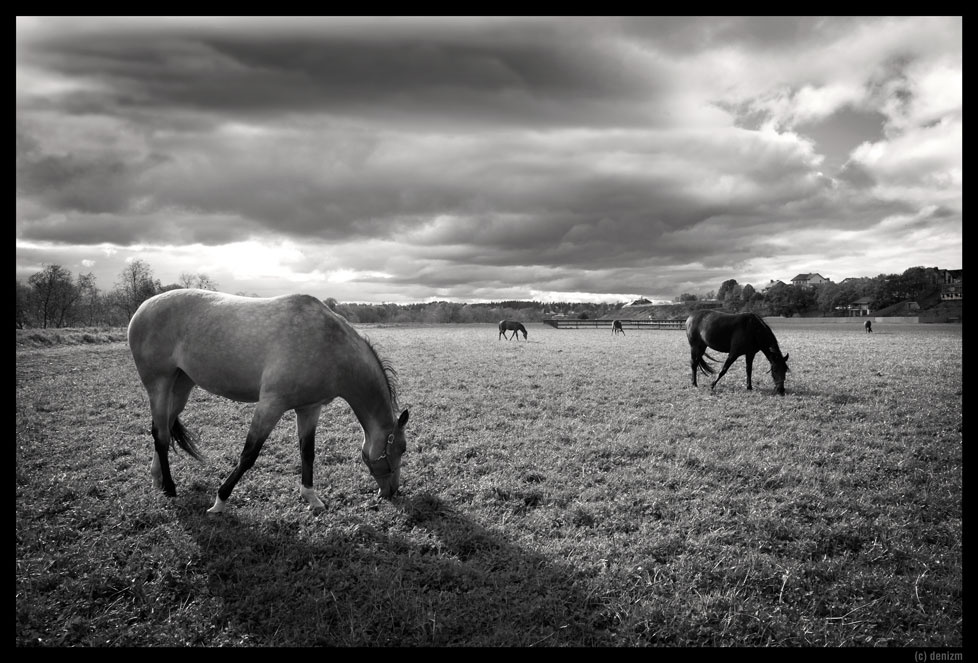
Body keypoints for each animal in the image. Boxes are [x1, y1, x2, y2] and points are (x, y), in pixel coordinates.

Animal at [127, 289, 410, 514]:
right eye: (402, 449)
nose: (392, 491)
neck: (329, 345)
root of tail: (143, 307)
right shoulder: (270, 406)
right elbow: (249, 455)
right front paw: (219, 501)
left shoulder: (309, 409)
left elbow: (307, 452)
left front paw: (311, 497)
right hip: (159, 384)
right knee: (161, 436)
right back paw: (170, 488)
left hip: (181, 386)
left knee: (162, 428)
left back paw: (158, 480)